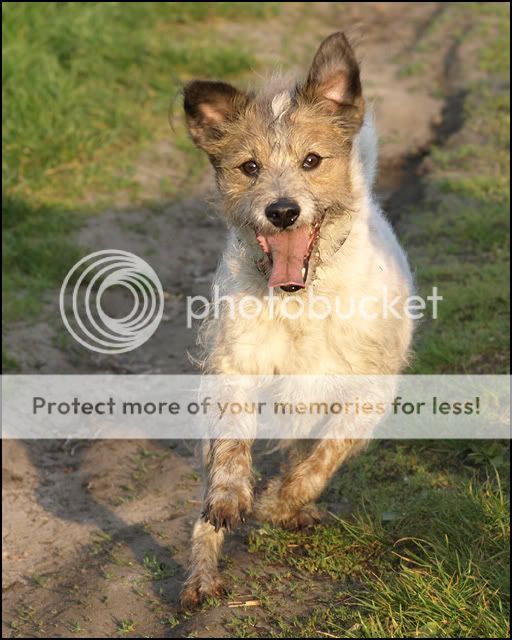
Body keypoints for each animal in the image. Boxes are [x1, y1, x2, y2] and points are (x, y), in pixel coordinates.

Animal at [180, 32, 415, 607]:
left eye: (312, 160)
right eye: (249, 167)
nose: (282, 211)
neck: (301, 301)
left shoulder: (370, 390)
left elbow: (324, 456)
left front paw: (280, 504)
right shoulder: (233, 366)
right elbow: (231, 442)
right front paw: (233, 495)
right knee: (205, 503)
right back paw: (202, 575)